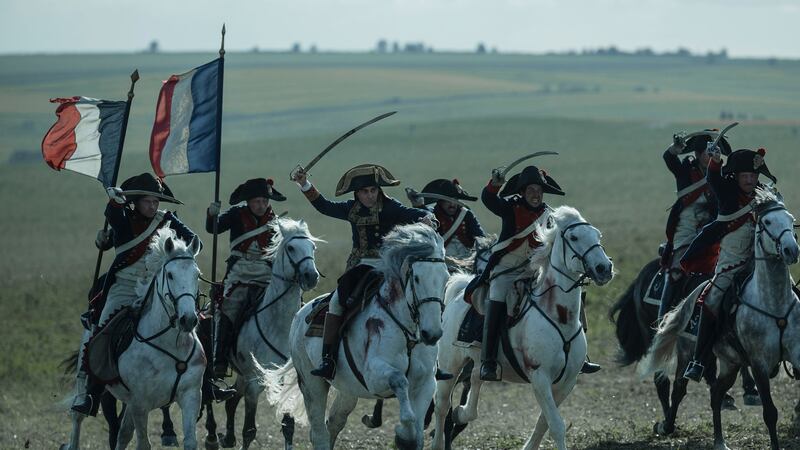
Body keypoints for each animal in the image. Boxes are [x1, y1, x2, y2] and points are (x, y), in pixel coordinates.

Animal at [217, 216, 324, 448]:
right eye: (291, 247)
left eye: (312, 247)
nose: (311, 276)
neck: (277, 324)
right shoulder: (254, 382)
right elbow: (249, 430)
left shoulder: (283, 379)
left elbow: (288, 426)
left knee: (232, 401)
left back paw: (228, 438)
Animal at [268, 223, 450, 448]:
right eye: (416, 278)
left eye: (446, 278)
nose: (431, 333)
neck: (406, 332)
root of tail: (300, 314)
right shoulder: (374, 377)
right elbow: (400, 383)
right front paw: (402, 433)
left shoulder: (425, 384)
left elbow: (417, 432)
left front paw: (407, 436)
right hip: (311, 385)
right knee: (319, 432)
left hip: (347, 390)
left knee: (333, 424)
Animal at [432, 205, 612, 450]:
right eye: (574, 237)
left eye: (597, 236)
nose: (604, 268)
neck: (558, 317)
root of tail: (458, 293)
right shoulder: (540, 377)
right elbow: (556, 425)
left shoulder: (567, 382)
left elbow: (544, 422)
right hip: (450, 366)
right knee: (441, 406)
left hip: (477, 362)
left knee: (476, 379)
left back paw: (463, 411)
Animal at [644, 189, 800, 450]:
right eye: (767, 222)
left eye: (790, 219)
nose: (791, 250)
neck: (773, 304)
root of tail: (695, 294)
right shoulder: (758, 364)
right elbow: (770, 412)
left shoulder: (796, 355)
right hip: (688, 353)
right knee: (679, 389)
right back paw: (666, 426)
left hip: (731, 363)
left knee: (716, 392)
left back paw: (719, 440)